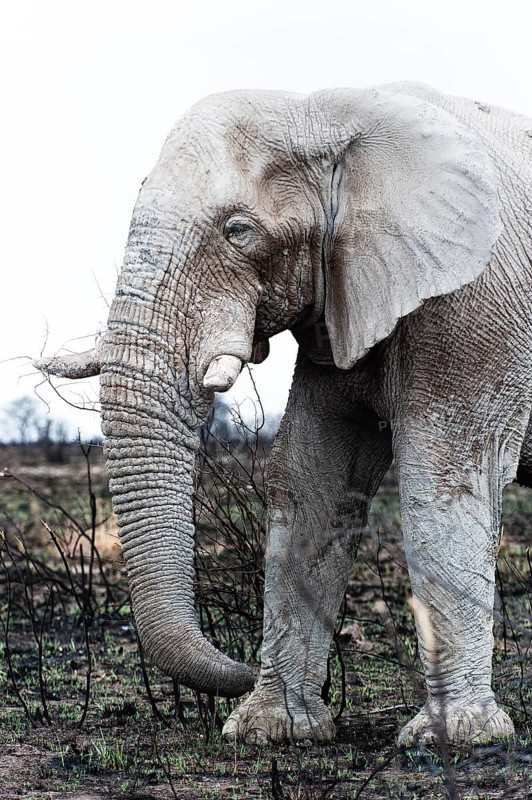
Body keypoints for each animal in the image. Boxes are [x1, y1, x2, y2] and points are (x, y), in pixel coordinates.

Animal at [36, 82, 532, 747]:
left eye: (238, 231)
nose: (238, 667)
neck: (326, 112)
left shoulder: (474, 302)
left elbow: (446, 476)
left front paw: (456, 739)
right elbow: (311, 479)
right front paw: (271, 730)